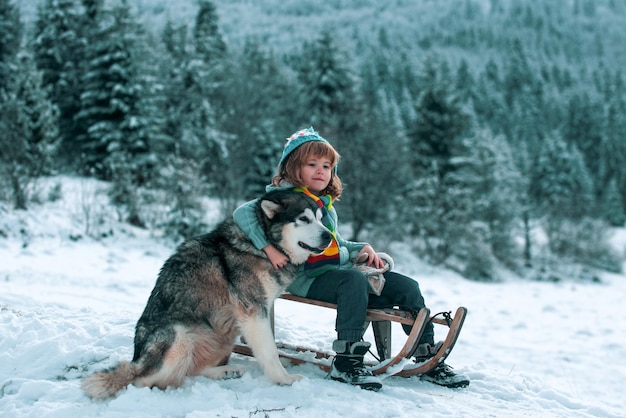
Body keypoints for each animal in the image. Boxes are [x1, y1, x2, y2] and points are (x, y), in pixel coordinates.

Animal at [83, 189, 332, 398]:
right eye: (303, 219)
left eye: (320, 218)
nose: (329, 236)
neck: (262, 244)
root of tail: (136, 360)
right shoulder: (254, 311)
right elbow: (270, 351)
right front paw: (284, 380)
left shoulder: (262, 308)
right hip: (177, 336)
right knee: (141, 381)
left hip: (224, 335)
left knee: (192, 370)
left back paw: (224, 372)